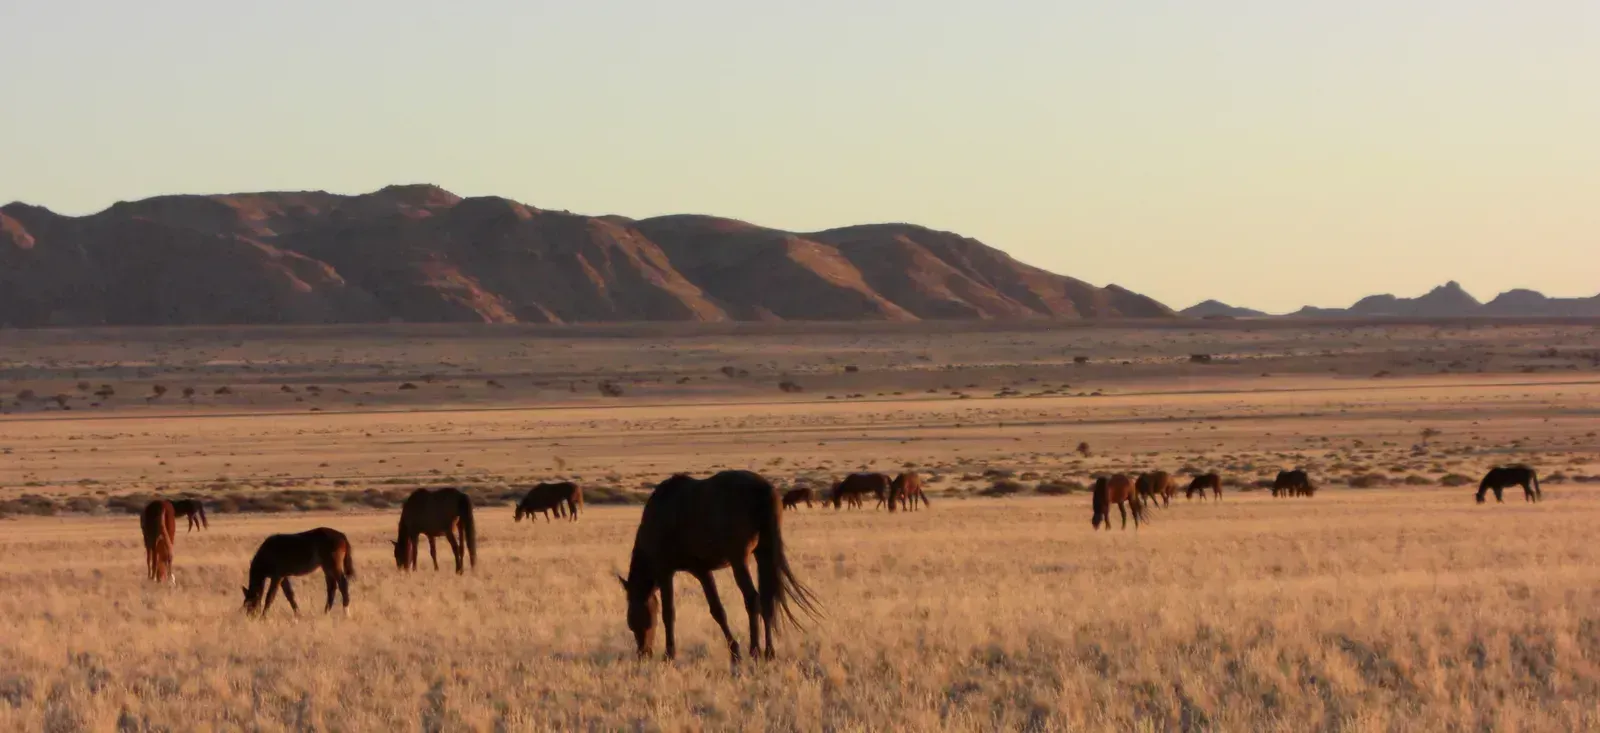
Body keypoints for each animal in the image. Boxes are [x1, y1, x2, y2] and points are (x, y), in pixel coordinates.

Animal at [618, 470, 820, 662]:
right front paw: (734, 652)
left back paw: (755, 650)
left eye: (634, 619)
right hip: (763, 553)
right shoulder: (702, 570)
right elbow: (717, 610)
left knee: (752, 599)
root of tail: (764, 488)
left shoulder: (666, 572)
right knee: (767, 600)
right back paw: (769, 652)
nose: (643, 653)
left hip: (739, 560)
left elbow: (669, 613)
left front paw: (669, 654)